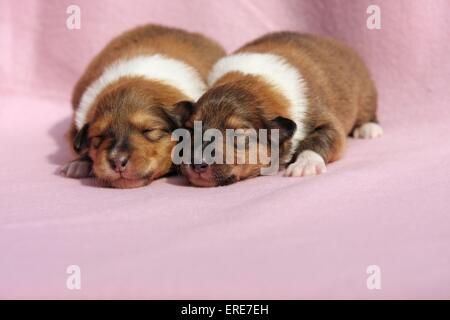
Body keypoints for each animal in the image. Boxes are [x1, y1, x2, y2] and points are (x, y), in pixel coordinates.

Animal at [180, 31, 384, 186]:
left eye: (238, 135)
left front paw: (305, 164)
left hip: (365, 92)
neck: (252, 84)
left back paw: (369, 128)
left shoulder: (324, 118)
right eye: (190, 129)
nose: (196, 163)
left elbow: (323, 138)